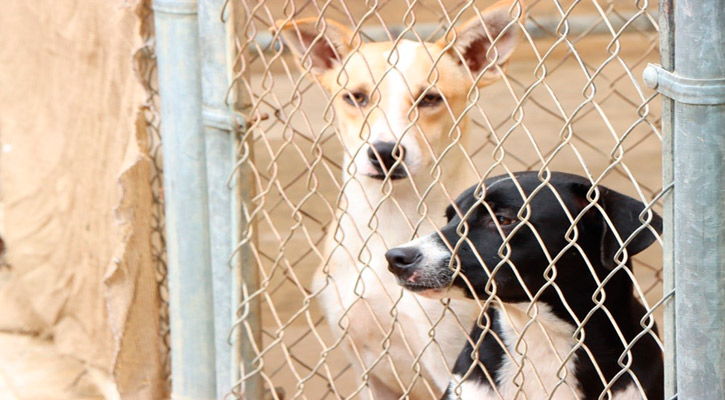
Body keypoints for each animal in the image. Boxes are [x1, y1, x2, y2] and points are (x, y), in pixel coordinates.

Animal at [276, 2, 520, 396]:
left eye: (430, 98)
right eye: (356, 97)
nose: (385, 152)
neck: (390, 216)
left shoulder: (449, 360)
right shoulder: (365, 370)